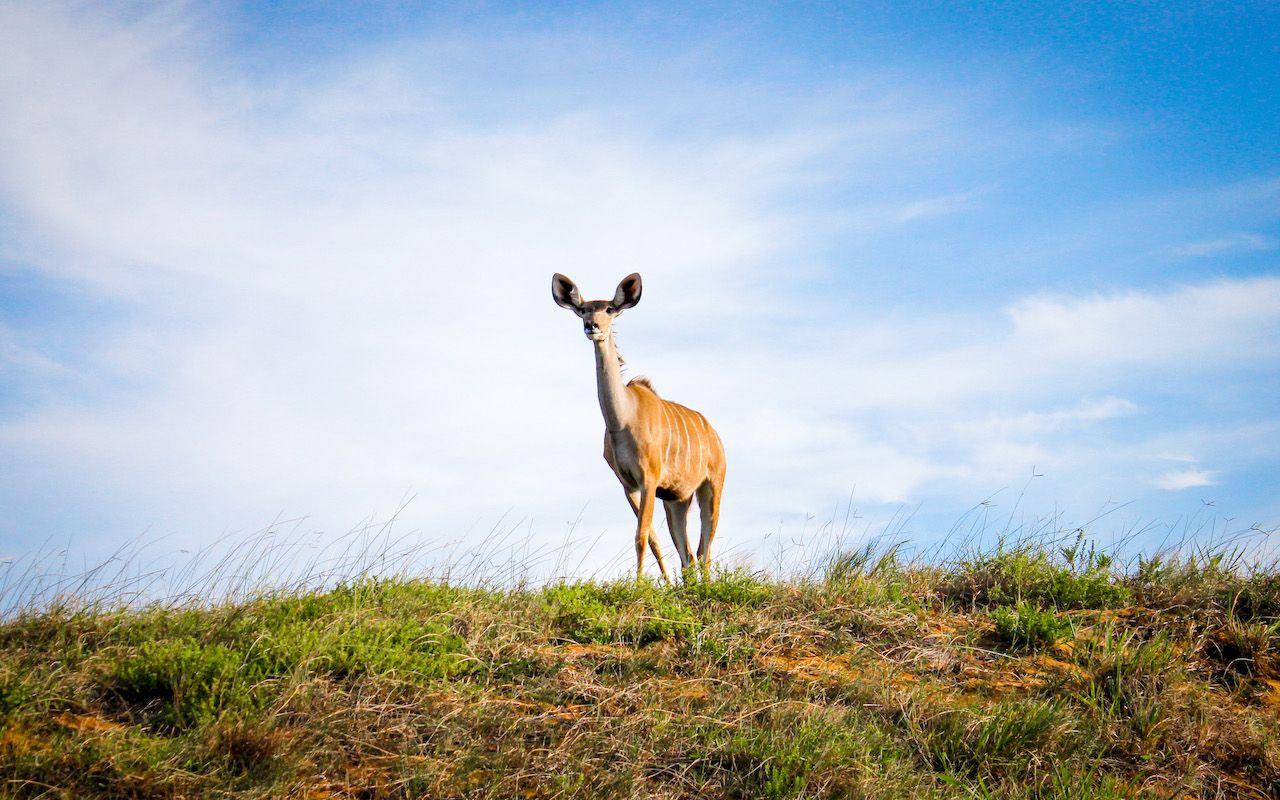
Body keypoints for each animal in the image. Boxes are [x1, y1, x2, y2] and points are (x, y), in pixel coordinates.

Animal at [555, 271, 727, 576]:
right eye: (583, 309)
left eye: (610, 309)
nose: (592, 326)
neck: (622, 420)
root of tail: (715, 436)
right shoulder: (629, 484)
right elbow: (653, 539)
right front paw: (662, 582)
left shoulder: (649, 478)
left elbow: (642, 535)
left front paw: (639, 583)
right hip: (677, 499)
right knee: (688, 553)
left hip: (712, 486)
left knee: (705, 546)